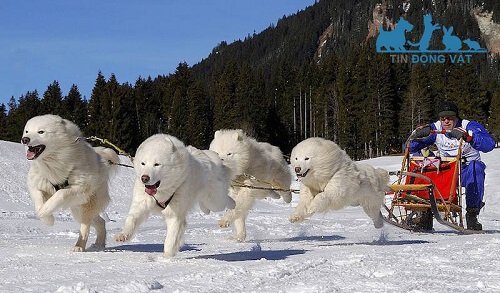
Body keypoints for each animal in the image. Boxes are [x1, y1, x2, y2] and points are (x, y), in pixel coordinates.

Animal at [22, 114, 119, 251]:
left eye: (41, 132)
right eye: (27, 131)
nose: (24, 139)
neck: (54, 162)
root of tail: (102, 160)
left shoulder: (80, 189)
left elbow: (60, 194)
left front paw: (44, 212)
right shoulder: (37, 183)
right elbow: (38, 199)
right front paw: (46, 218)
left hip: (85, 205)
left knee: (86, 226)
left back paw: (79, 246)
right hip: (77, 209)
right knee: (100, 222)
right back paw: (99, 244)